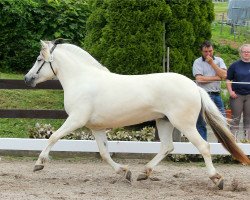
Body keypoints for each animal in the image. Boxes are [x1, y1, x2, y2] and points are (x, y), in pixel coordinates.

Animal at [23, 40, 250, 189]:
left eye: (38, 59)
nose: (27, 79)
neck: (82, 79)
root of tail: (194, 86)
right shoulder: (95, 127)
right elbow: (104, 153)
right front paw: (124, 172)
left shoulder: (76, 120)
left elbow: (53, 137)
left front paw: (39, 164)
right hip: (164, 122)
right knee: (167, 147)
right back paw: (143, 173)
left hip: (183, 124)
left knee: (203, 146)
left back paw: (217, 179)